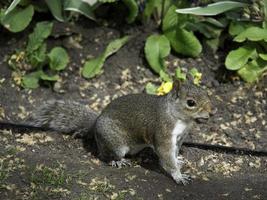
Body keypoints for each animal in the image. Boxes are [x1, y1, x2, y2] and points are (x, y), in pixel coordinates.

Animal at [28, 79, 213, 184]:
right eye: (191, 103)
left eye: (206, 93)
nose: (212, 113)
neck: (181, 119)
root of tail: (95, 124)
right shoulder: (164, 133)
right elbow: (166, 156)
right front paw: (178, 176)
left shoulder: (179, 137)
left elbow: (174, 152)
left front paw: (178, 159)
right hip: (115, 144)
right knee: (104, 155)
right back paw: (116, 161)